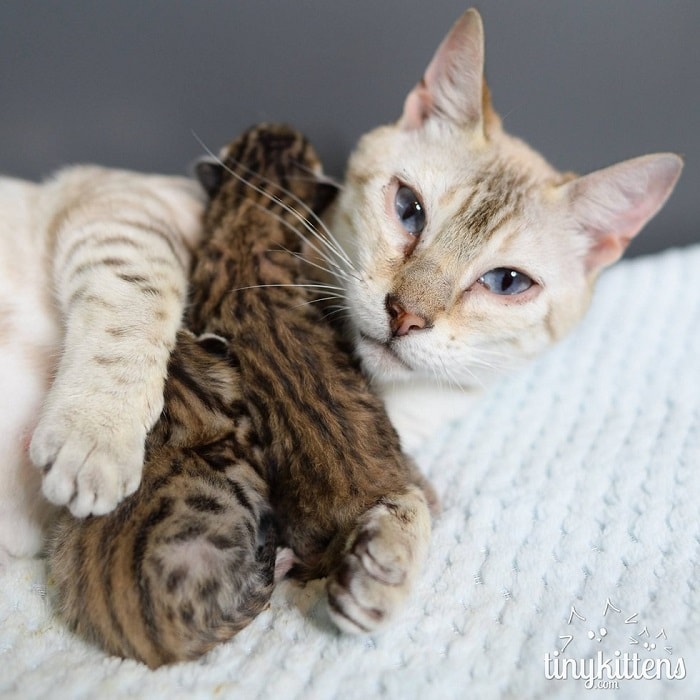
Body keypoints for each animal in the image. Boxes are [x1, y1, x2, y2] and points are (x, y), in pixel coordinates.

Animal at [0, 6, 680, 564]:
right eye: (408, 209)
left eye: (508, 281)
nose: (406, 314)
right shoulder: (118, 202)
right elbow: (138, 297)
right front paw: (96, 436)